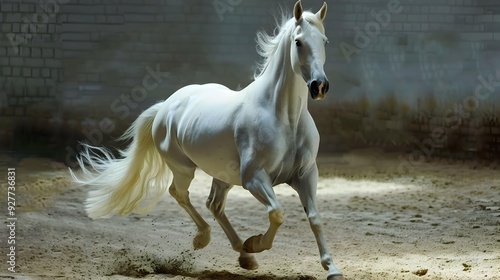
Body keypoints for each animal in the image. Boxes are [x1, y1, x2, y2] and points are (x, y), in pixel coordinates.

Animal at [70, 1, 344, 278]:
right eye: (298, 42)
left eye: (325, 41)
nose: (319, 86)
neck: (284, 117)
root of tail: (165, 106)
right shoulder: (254, 178)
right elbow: (277, 213)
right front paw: (255, 243)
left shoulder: (306, 175)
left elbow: (314, 218)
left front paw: (332, 268)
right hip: (183, 168)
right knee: (180, 194)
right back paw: (206, 239)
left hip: (223, 176)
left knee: (214, 205)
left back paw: (244, 256)